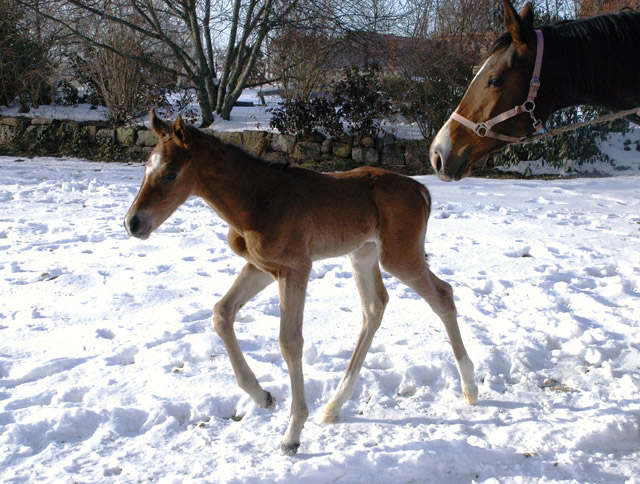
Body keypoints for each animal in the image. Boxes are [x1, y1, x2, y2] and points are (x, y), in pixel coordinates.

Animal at [125, 111, 478, 456]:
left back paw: (470, 388)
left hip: (400, 258)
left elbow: (289, 342)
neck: (258, 200)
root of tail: (421, 190)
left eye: (171, 173)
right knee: (374, 307)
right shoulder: (261, 267)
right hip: (362, 255)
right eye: (145, 168)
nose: (133, 222)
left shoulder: (296, 269)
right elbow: (222, 313)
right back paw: (335, 405)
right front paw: (263, 396)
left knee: (443, 295)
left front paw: (292, 435)